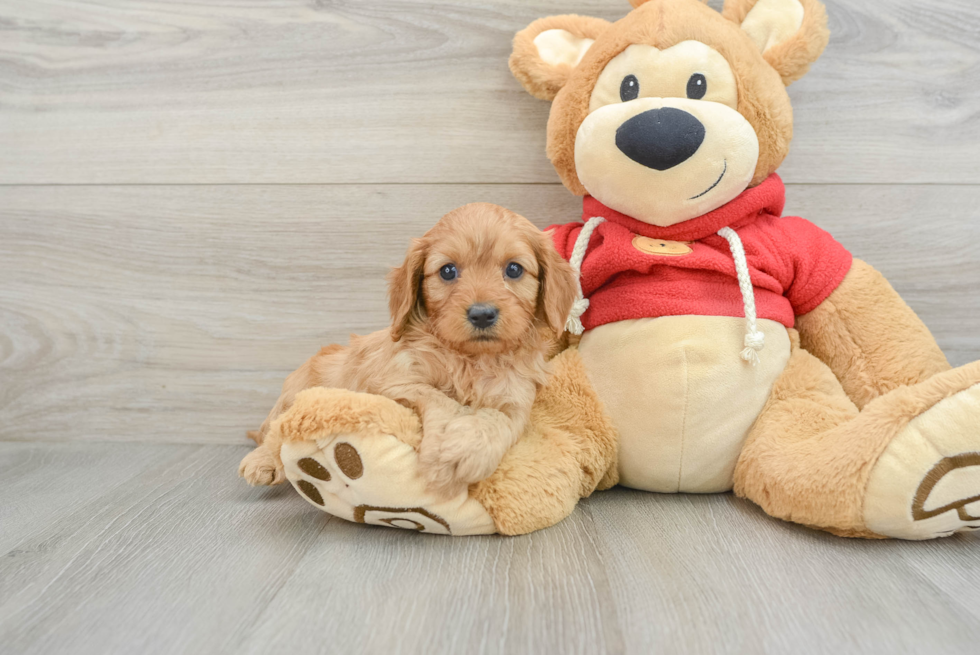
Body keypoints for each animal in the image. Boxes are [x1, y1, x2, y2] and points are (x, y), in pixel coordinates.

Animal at [240, 205, 580, 498]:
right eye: (447, 271)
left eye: (513, 269)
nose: (482, 314)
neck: (470, 359)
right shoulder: (393, 378)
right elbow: (441, 399)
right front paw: (445, 451)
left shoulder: (516, 399)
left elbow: (497, 419)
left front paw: (463, 451)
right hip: (295, 392)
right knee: (276, 430)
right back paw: (262, 461)